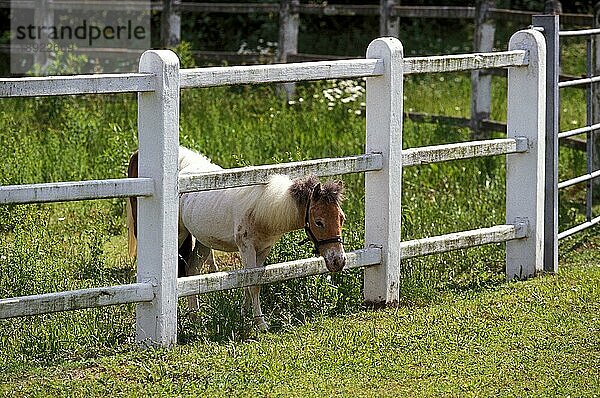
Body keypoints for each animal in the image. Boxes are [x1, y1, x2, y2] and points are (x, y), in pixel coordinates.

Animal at [127, 145, 346, 330]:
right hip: (180, 235)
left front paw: (244, 315)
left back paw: (195, 317)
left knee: (192, 271)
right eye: (318, 221)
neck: (261, 209)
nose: (339, 261)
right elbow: (253, 284)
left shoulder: (263, 249)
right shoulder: (246, 248)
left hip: (204, 241)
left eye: (341, 218)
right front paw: (261, 324)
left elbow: (249, 284)